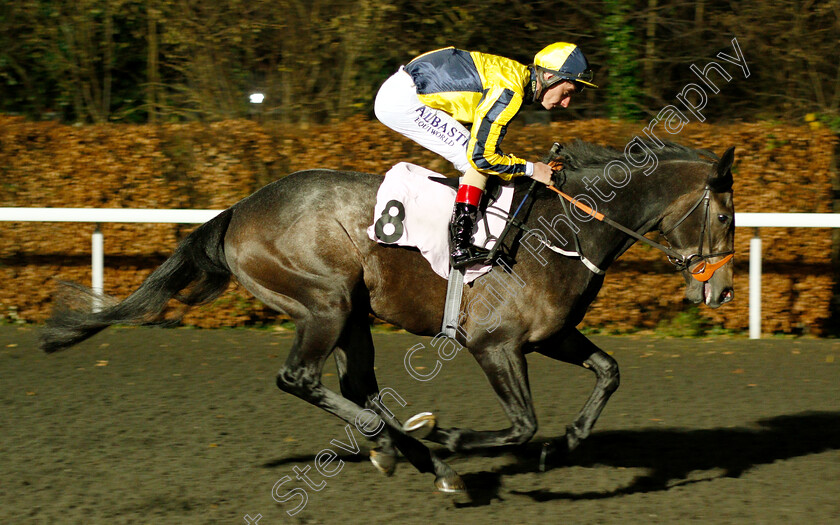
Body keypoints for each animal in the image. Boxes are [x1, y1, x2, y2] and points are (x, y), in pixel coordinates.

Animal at [39, 138, 736, 492]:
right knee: (302, 379)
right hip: (326, 301)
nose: (724, 292)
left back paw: (413, 456)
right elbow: (521, 424)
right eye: (727, 215)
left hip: (354, 313)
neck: (565, 230)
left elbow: (609, 371)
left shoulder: (551, 335)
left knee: (357, 385)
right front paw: (456, 437)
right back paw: (415, 449)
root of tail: (237, 211)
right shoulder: (494, 344)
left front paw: (567, 442)